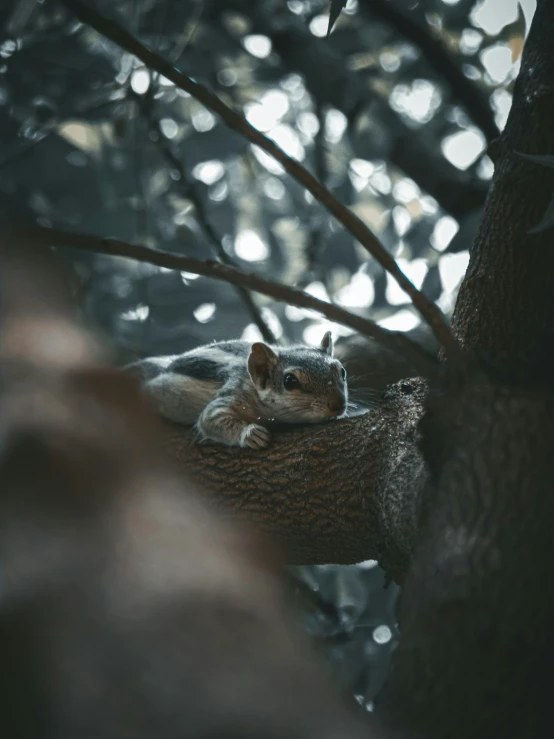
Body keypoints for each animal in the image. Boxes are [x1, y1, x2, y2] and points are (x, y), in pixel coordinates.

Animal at [127, 330, 348, 450]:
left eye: (343, 371)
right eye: (290, 381)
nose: (338, 404)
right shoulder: (235, 391)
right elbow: (209, 418)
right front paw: (251, 434)